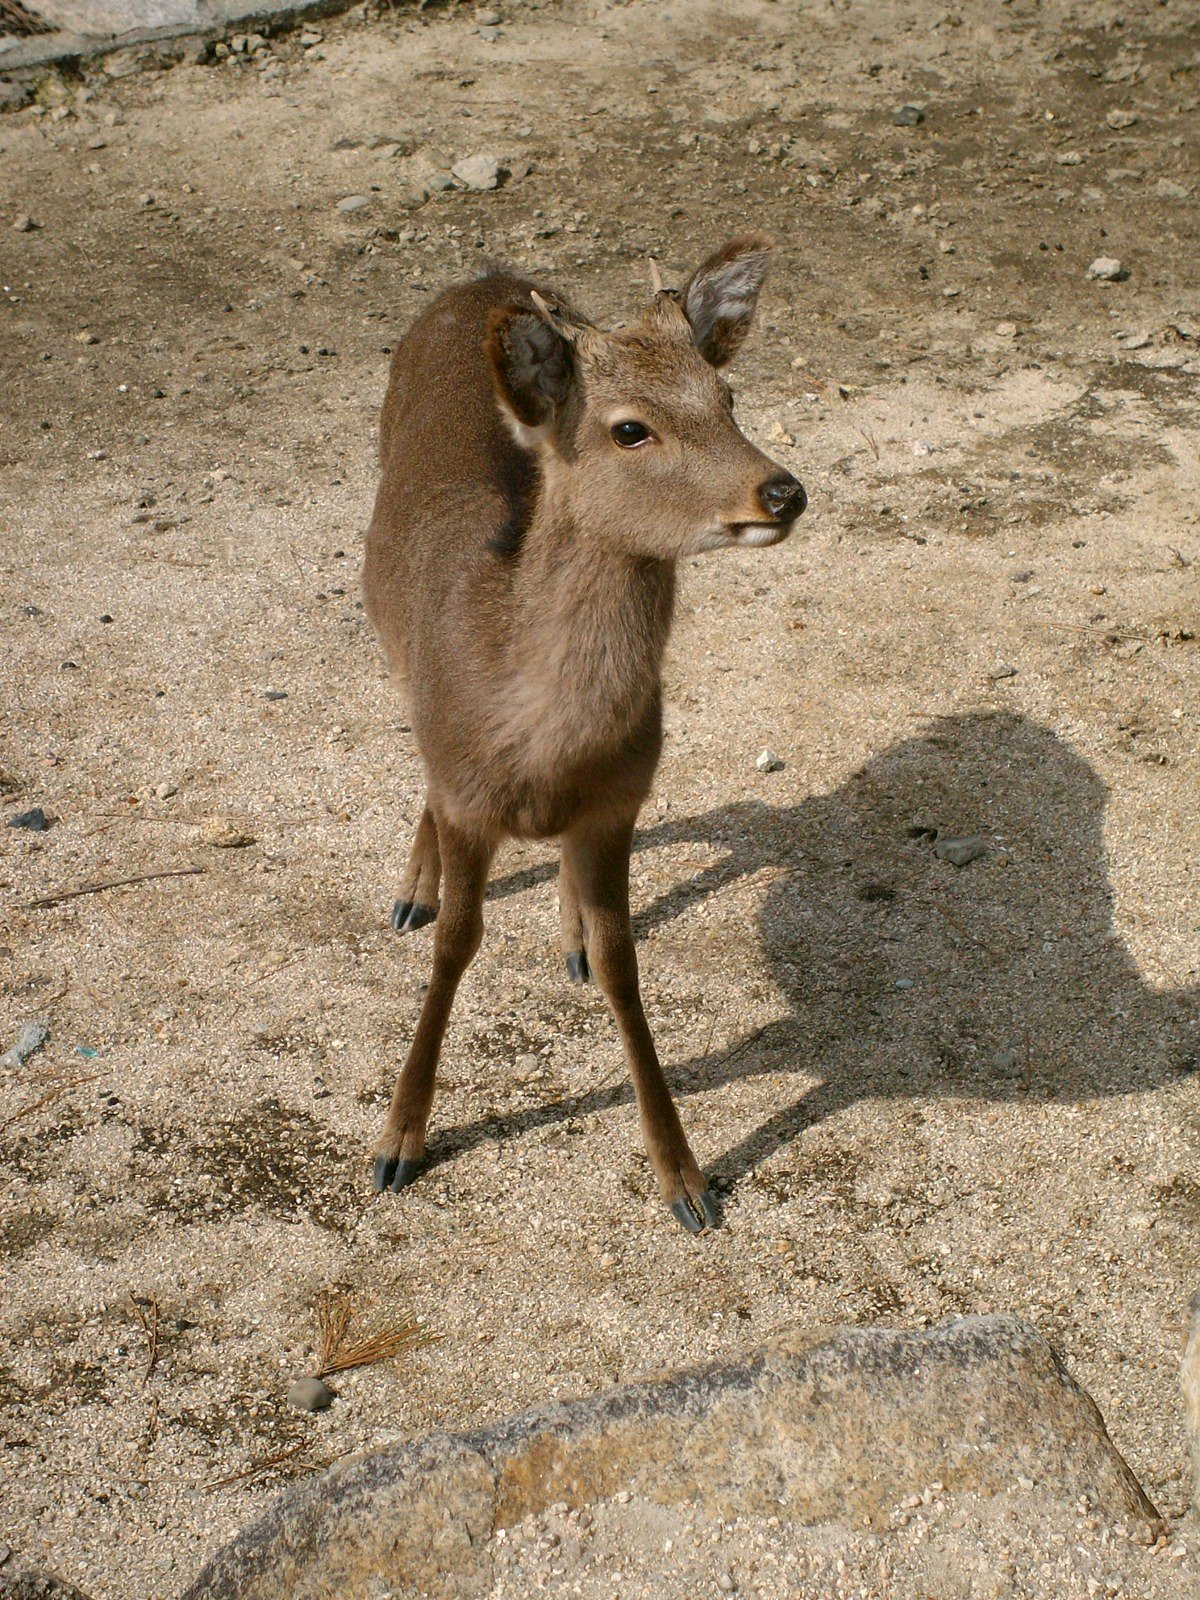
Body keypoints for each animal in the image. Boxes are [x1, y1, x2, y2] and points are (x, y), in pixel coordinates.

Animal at [361, 234, 806, 1232]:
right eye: (630, 429)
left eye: (727, 397)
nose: (783, 491)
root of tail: (481, 280)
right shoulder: (467, 796)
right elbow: (455, 945)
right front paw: (398, 1142)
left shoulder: (620, 804)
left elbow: (621, 963)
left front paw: (686, 1181)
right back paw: (410, 889)